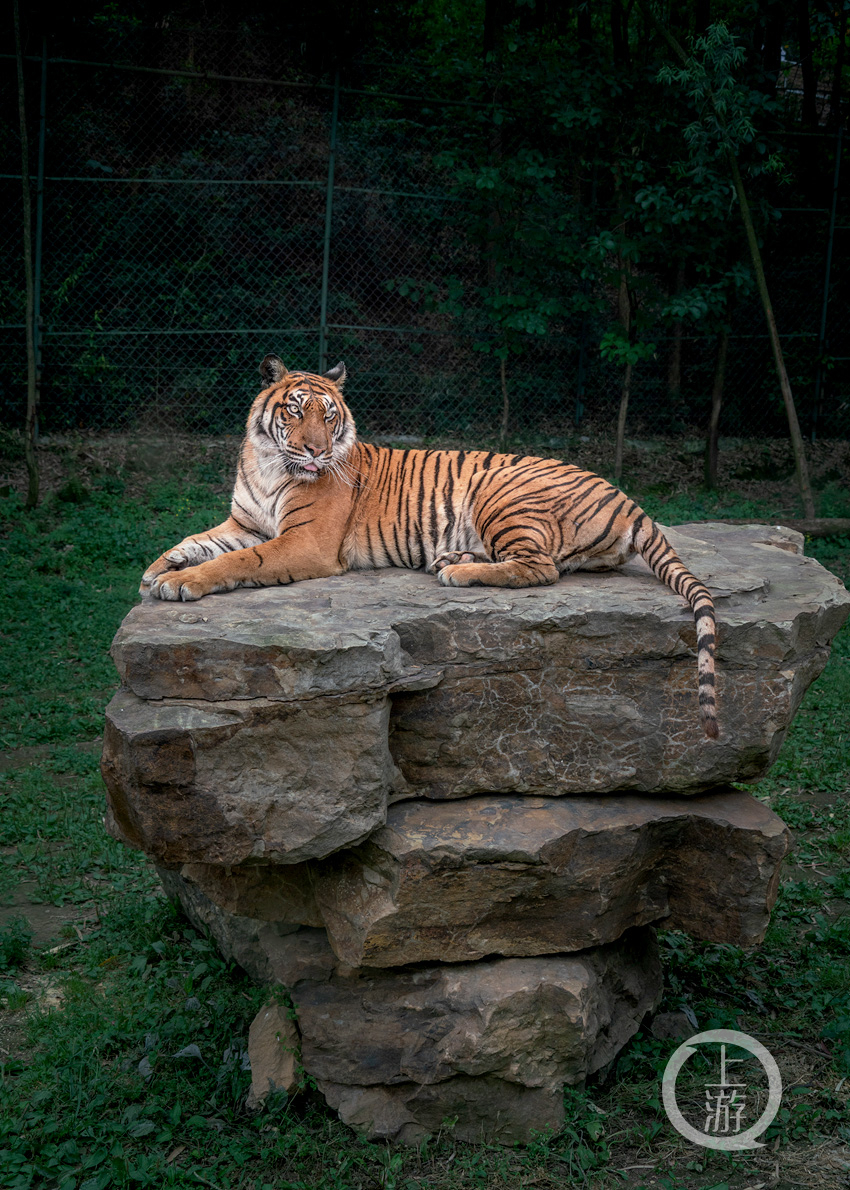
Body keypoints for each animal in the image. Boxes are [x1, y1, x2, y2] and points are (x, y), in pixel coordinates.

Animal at [140, 354, 714, 733]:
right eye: (295, 410)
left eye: (329, 415)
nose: (317, 451)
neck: (267, 462)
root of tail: (626, 496)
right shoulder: (244, 521)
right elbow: (196, 540)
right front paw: (156, 570)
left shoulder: (304, 542)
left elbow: (238, 561)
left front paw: (181, 583)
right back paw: (453, 556)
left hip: (499, 491)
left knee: (539, 568)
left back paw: (456, 571)